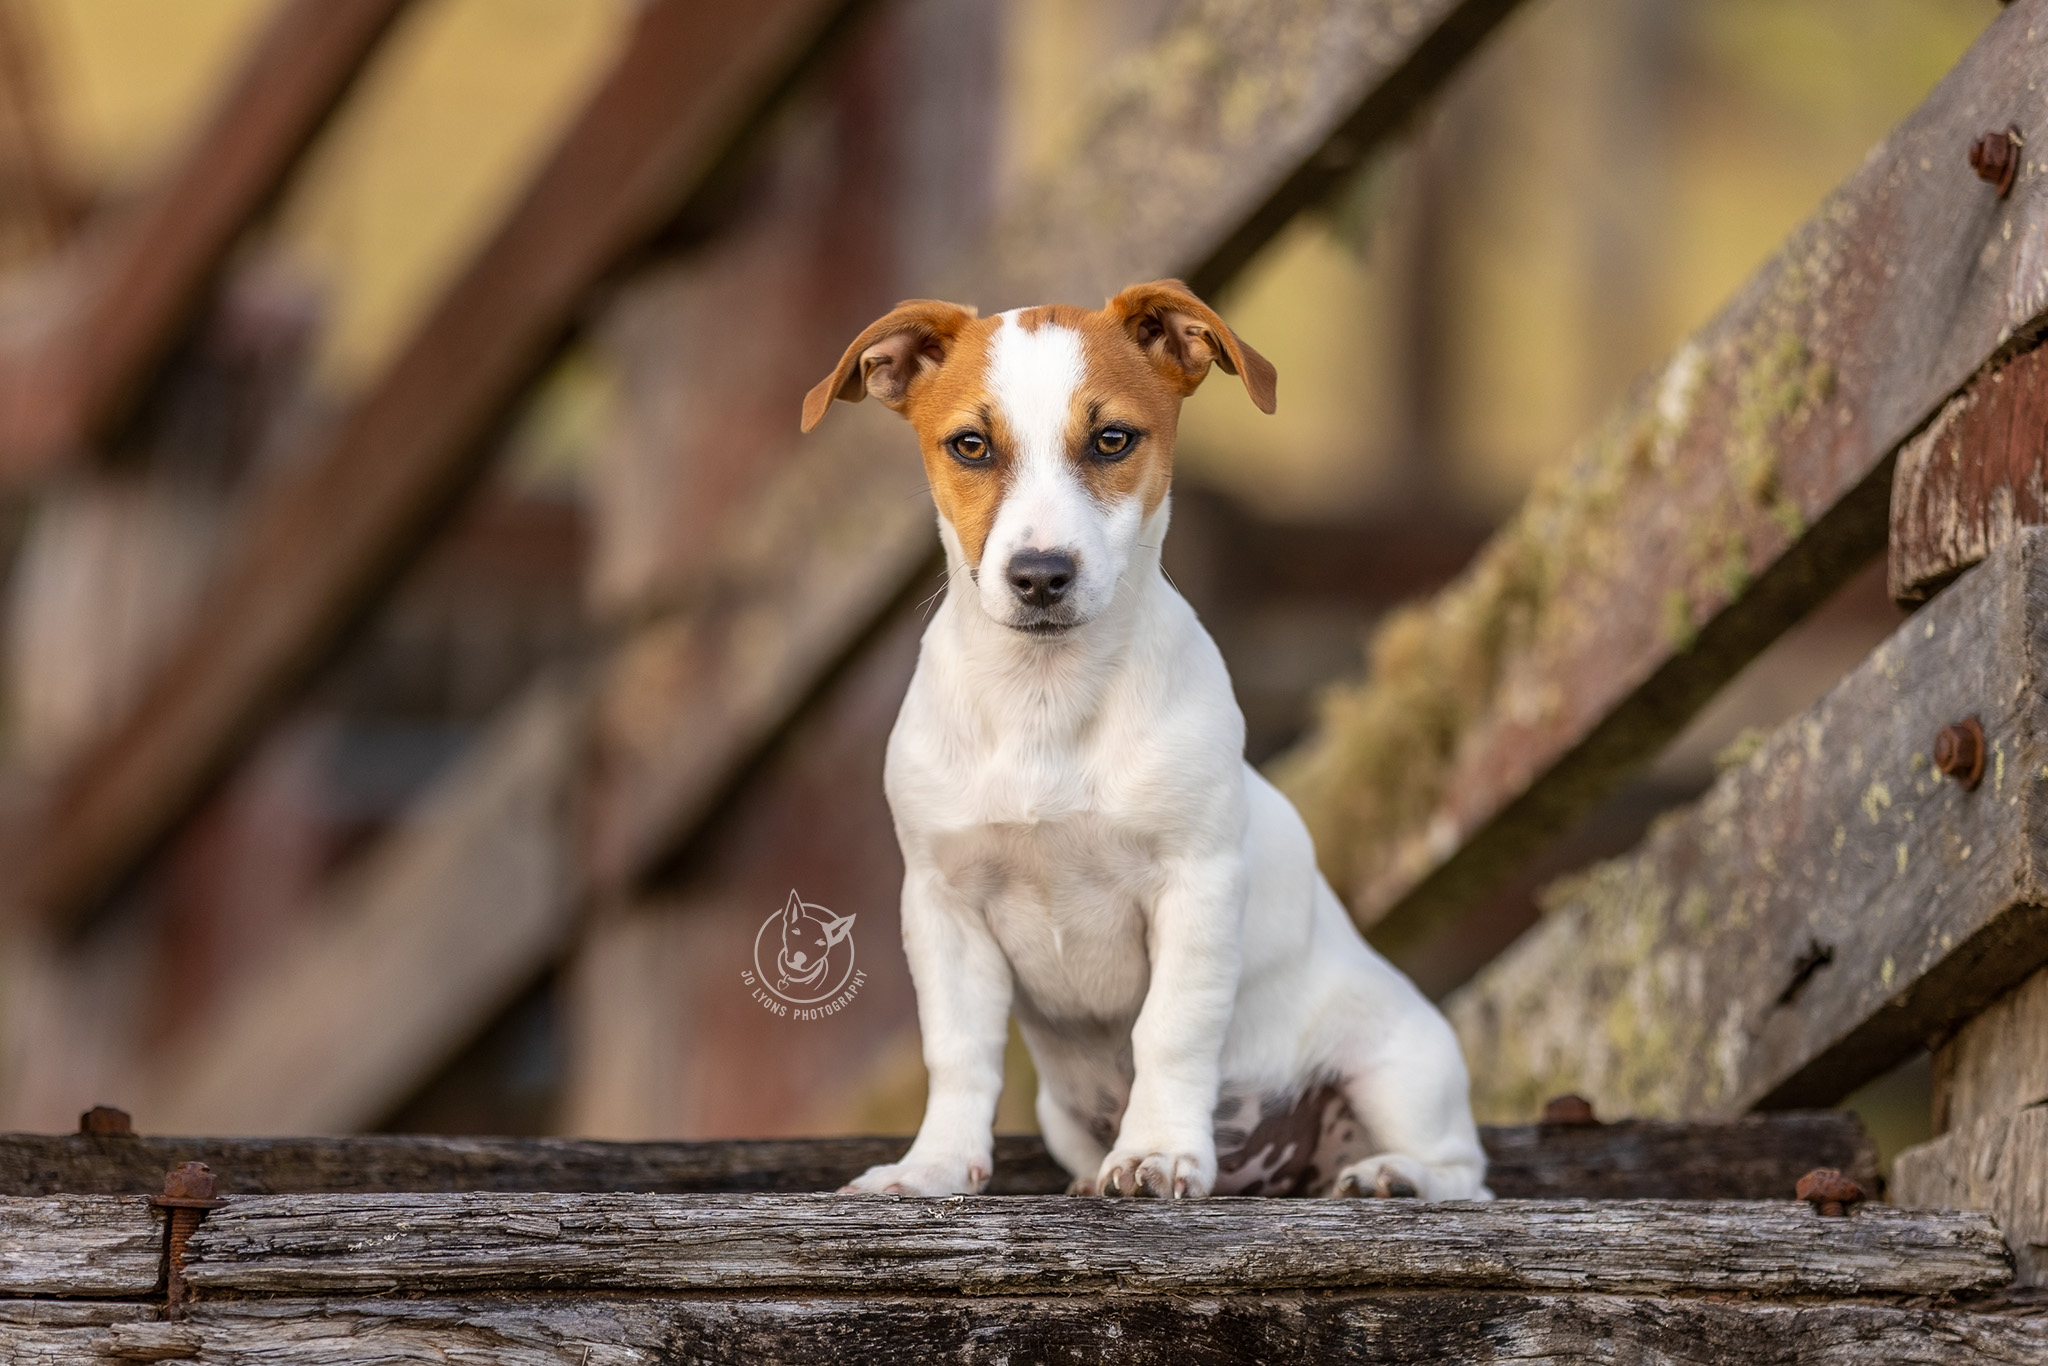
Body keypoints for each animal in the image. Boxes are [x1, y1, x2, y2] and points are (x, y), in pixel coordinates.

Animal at [798, 282, 1490, 1204]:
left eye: (1112, 439)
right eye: (971, 446)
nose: (1041, 575)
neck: (1046, 703)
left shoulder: (1195, 887)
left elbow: (1170, 1030)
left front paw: (1159, 1150)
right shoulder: (942, 906)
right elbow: (959, 1053)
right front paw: (935, 1165)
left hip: (1399, 1067)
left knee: (1466, 1172)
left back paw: (1394, 1176)